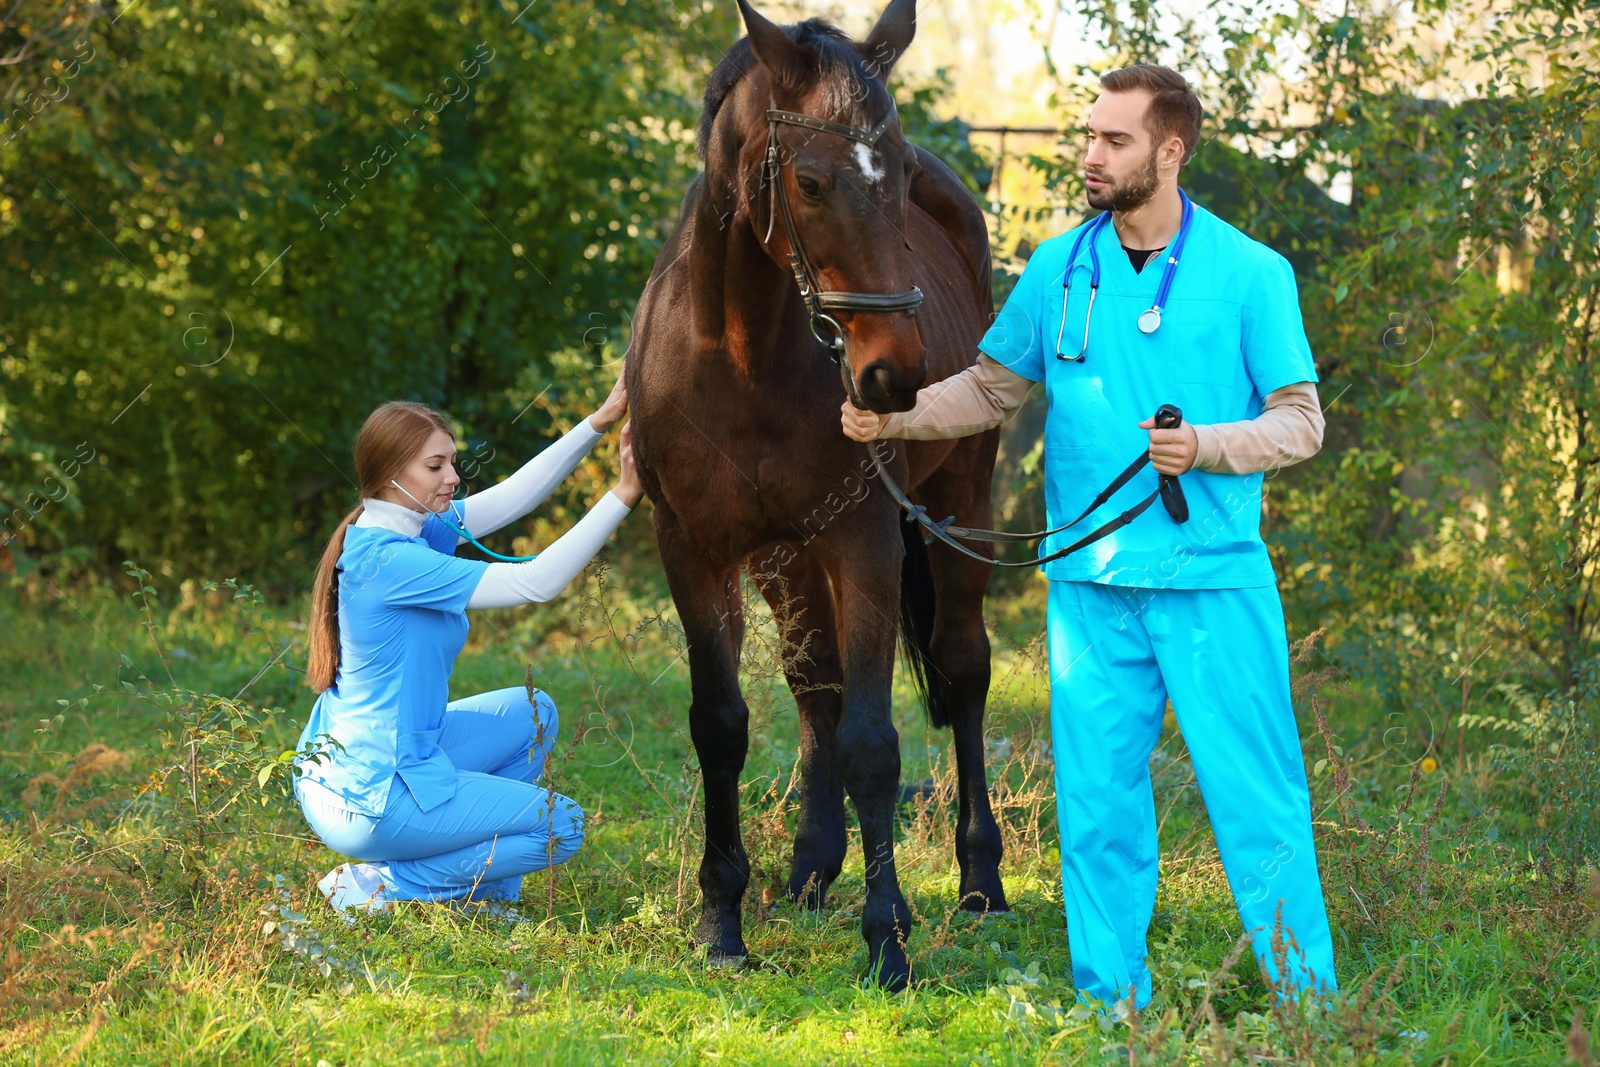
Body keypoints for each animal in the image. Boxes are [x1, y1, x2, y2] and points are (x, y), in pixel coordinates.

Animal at [620, 0, 998, 991]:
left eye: (899, 180)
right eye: (815, 182)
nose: (893, 377)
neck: (741, 351)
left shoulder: (865, 539)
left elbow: (875, 743)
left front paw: (887, 941)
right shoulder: (695, 549)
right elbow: (722, 725)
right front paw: (721, 921)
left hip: (962, 512)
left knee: (963, 670)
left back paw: (977, 879)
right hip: (786, 558)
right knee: (815, 683)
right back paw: (813, 868)